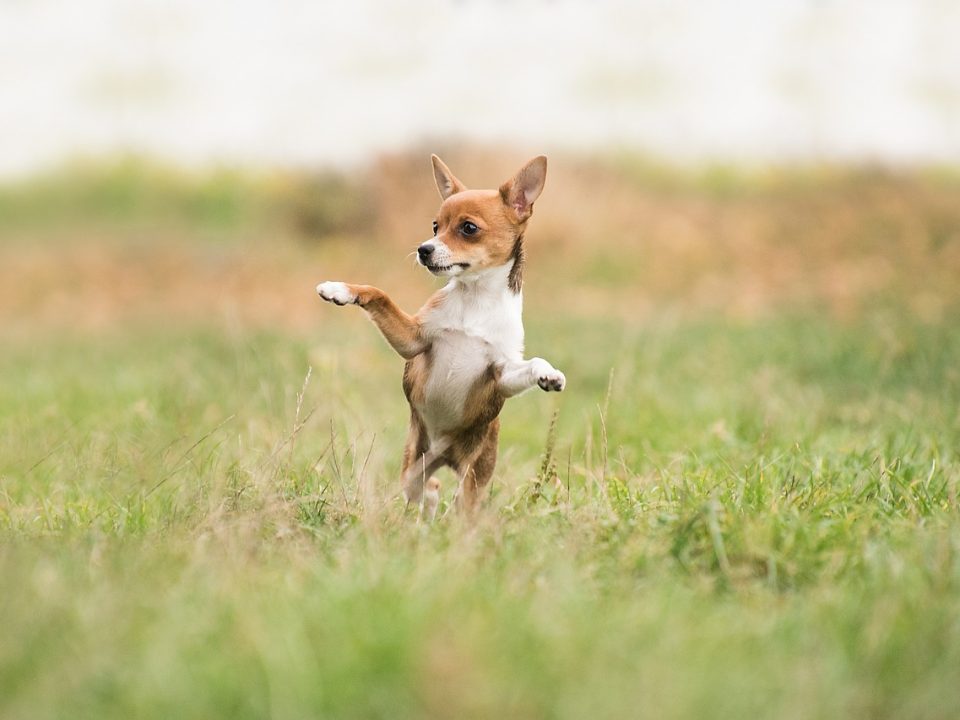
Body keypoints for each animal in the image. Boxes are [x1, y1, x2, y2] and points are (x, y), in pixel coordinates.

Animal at [318, 155, 568, 520]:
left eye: (468, 228)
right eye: (435, 226)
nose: (424, 249)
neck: (475, 300)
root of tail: (443, 456)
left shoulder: (500, 374)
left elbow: (531, 362)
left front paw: (549, 374)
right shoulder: (413, 339)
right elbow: (379, 294)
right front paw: (340, 289)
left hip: (474, 475)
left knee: (461, 502)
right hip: (414, 465)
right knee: (428, 488)